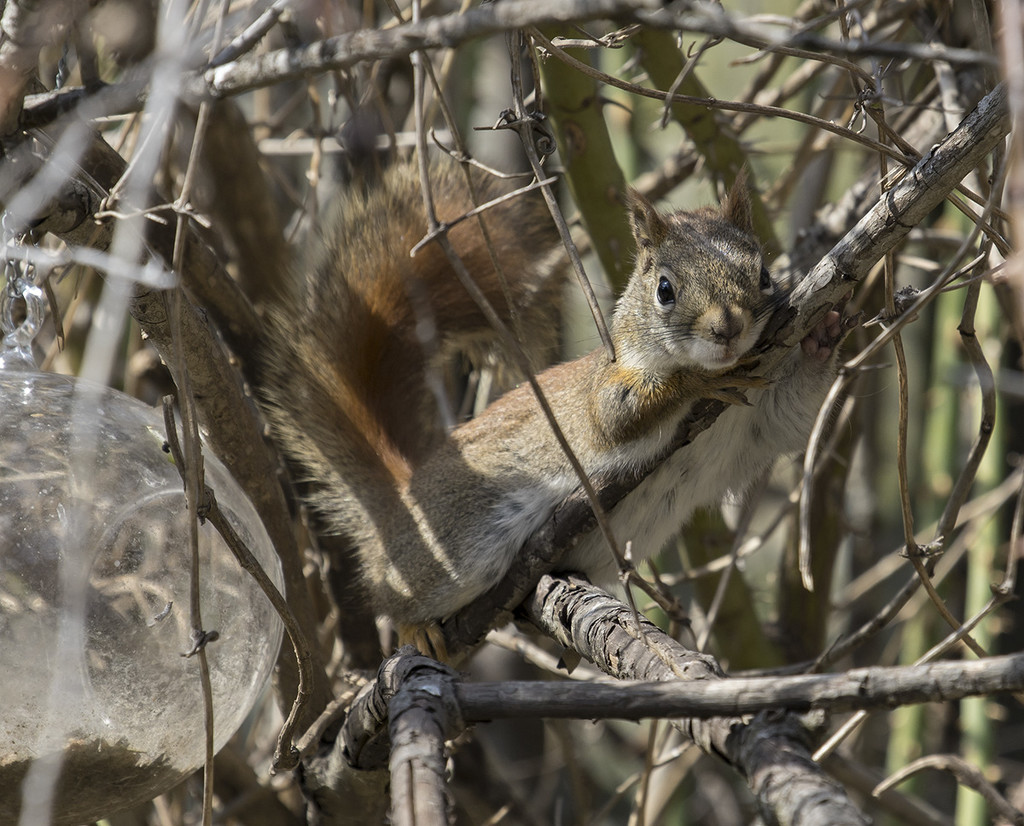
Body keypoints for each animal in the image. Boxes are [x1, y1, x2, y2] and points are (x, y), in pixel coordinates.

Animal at [258, 156, 847, 646]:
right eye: (664, 289)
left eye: (763, 274)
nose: (727, 329)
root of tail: (401, 503)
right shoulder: (603, 392)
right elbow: (615, 418)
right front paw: (694, 381)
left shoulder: (751, 427)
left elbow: (789, 420)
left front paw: (826, 335)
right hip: (453, 550)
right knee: (391, 592)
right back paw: (413, 627)